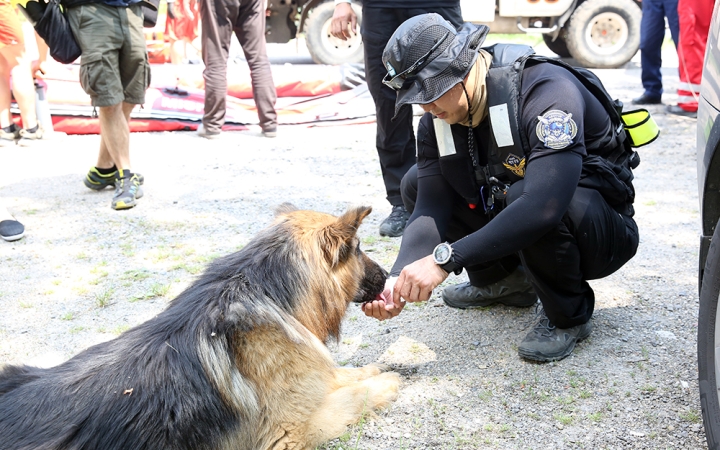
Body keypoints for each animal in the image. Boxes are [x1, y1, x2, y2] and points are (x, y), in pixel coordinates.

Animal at [0, 205, 400, 450]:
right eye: (359, 249)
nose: (386, 276)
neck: (264, 289)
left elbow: (339, 373)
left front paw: (369, 370)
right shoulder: (289, 434)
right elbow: (354, 396)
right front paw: (386, 382)